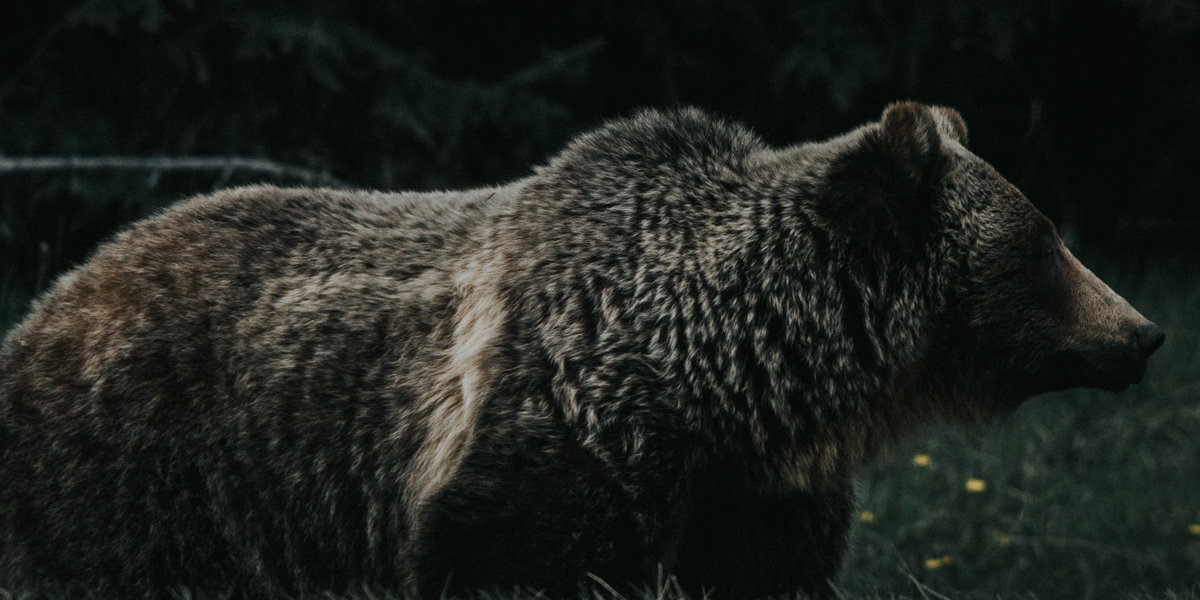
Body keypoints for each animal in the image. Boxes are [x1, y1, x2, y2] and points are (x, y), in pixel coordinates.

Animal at [0, 102, 1164, 599]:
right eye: (1043, 241)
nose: (1144, 333)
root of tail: (58, 292)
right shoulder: (554, 440)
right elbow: (518, 556)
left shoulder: (753, 496)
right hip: (147, 473)